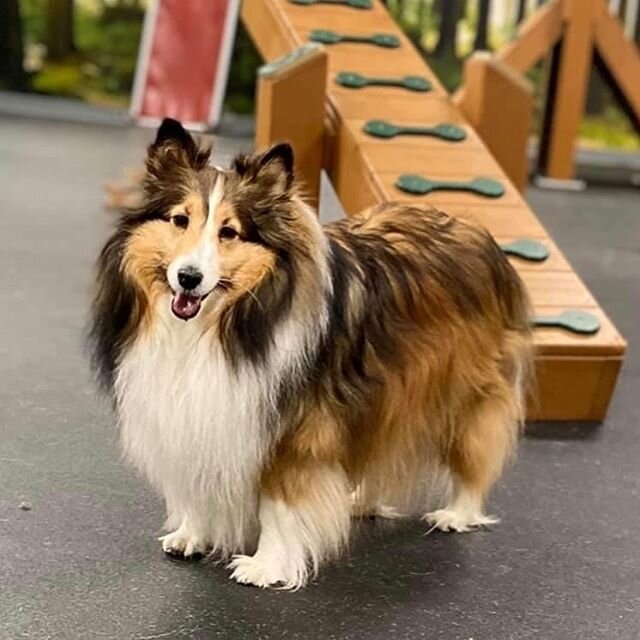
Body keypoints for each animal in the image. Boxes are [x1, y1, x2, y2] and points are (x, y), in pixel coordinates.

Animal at [89, 117, 528, 588]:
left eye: (229, 232)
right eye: (179, 220)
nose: (188, 277)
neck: (219, 328)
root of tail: (473, 230)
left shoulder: (294, 431)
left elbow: (277, 504)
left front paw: (265, 566)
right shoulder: (207, 413)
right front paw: (193, 533)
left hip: (462, 392)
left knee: (474, 454)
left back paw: (457, 513)